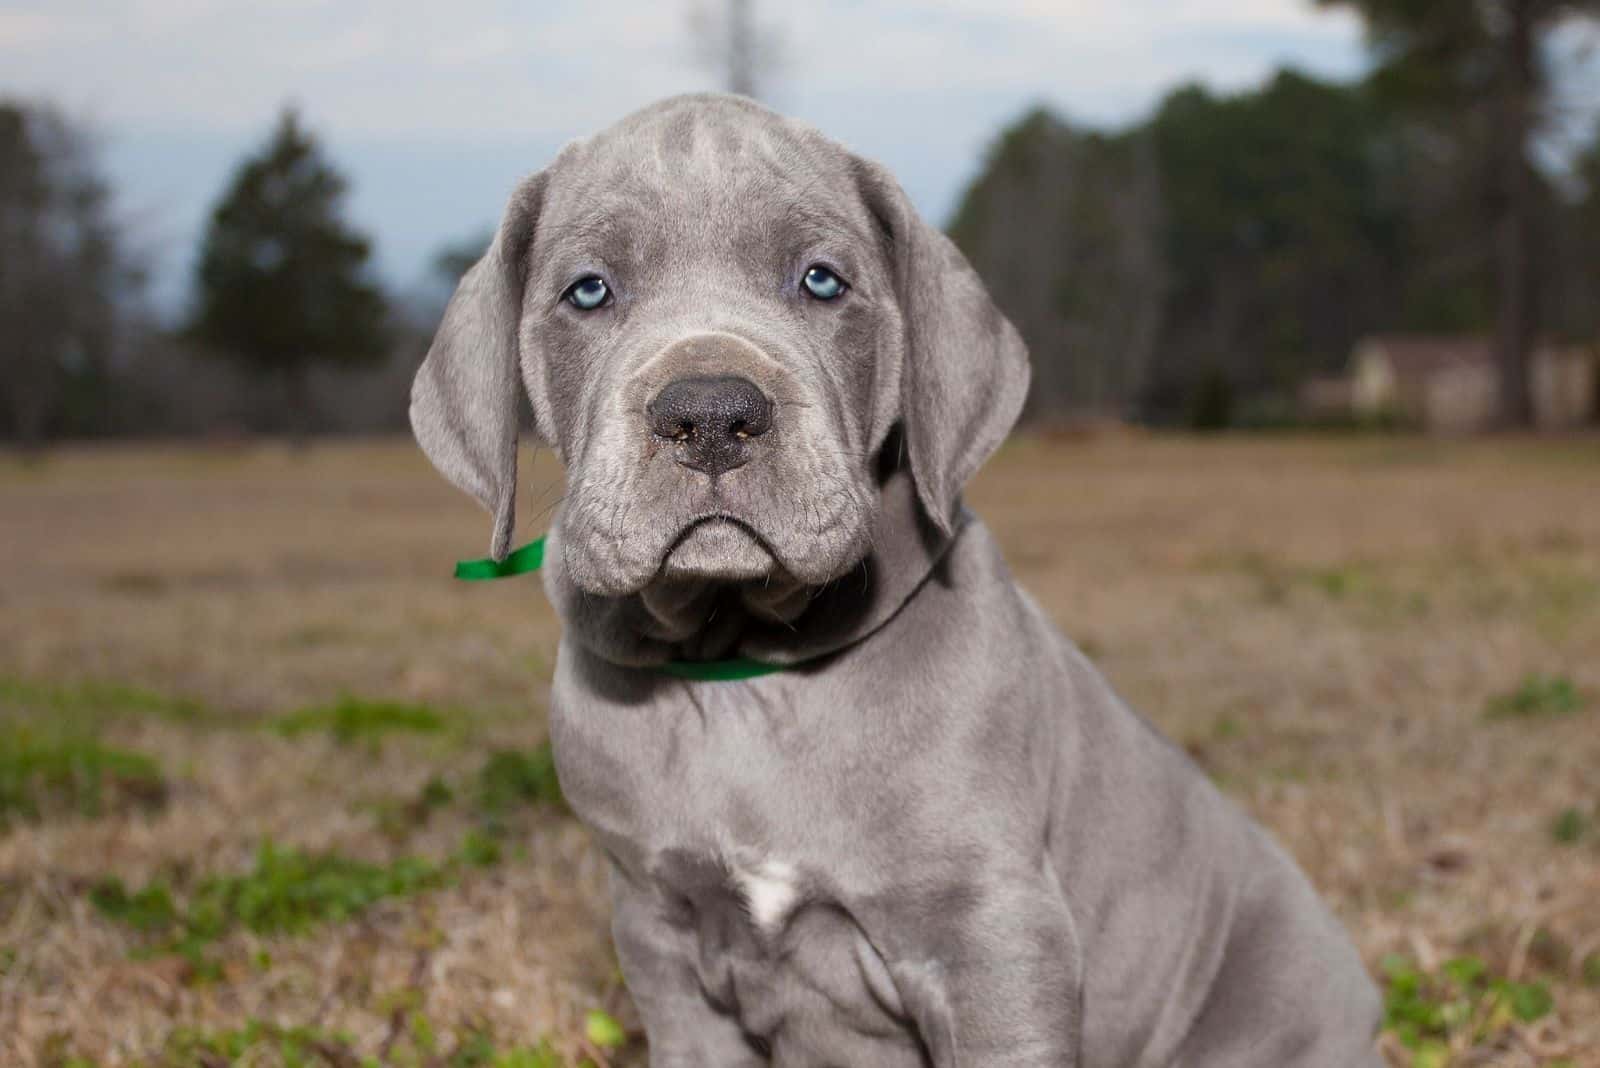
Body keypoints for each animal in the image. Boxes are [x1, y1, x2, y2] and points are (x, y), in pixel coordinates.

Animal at [409, 95, 1376, 1061]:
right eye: (589, 291)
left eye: (822, 281)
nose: (711, 414)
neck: (745, 670)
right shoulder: (660, 935)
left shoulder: (992, 939)